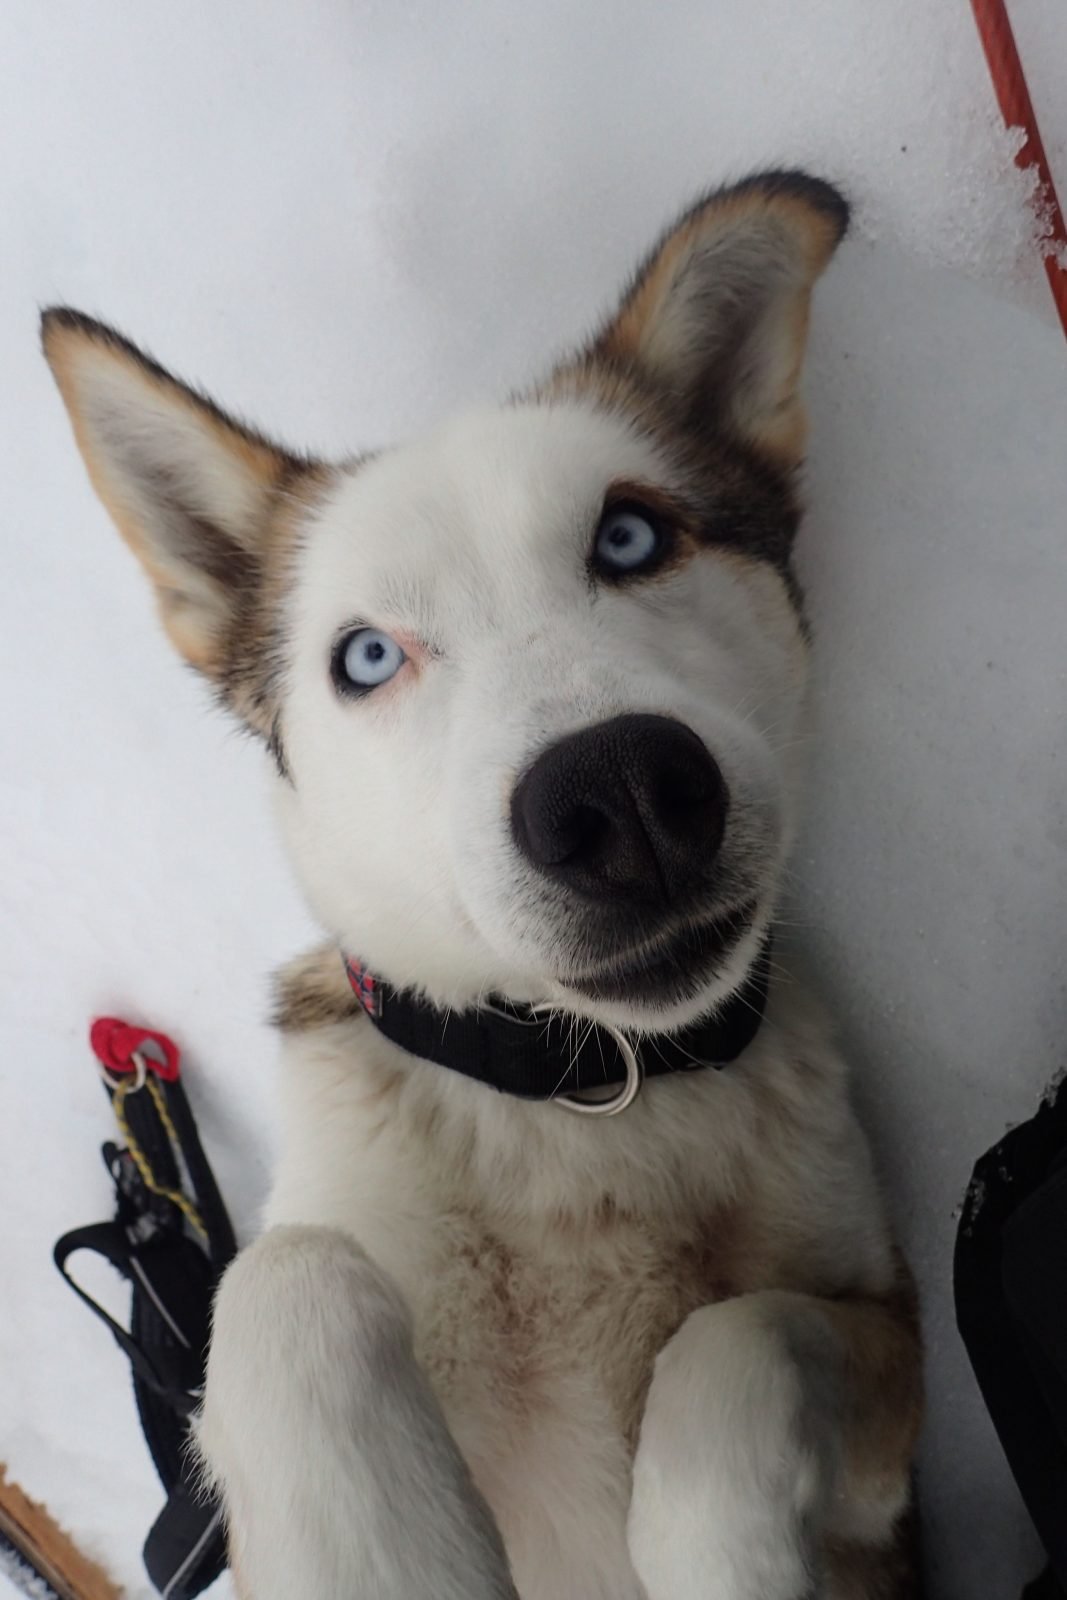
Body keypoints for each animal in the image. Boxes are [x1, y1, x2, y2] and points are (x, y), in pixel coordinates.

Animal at [45, 175, 921, 1600]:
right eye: (363, 657)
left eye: (630, 534)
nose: (618, 795)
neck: (585, 1093)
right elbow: (284, 1284)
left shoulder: (886, 1334)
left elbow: (744, 1334)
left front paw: (712, 1546)